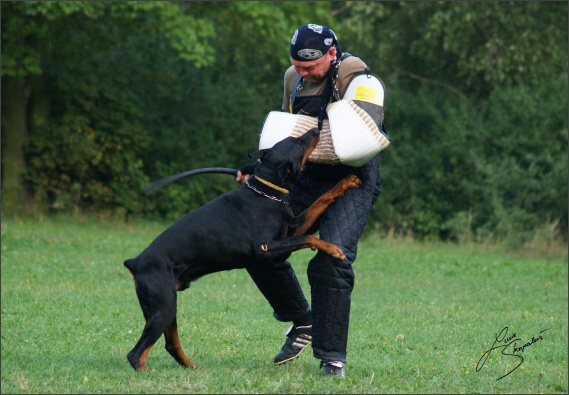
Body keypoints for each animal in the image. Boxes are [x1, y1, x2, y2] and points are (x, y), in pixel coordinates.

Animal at [123, 128, 360, 372]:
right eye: (298, 142)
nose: (316, 129)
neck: (266, 192)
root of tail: (135, 262)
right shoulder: (266, 248)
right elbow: (310, 237)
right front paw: (334, 249)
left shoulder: (292, 229)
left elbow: (320, 201)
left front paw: (346, 181)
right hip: (163, 307)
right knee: (136, 354)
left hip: (169, 307)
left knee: (171, 344)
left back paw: (192, 366)